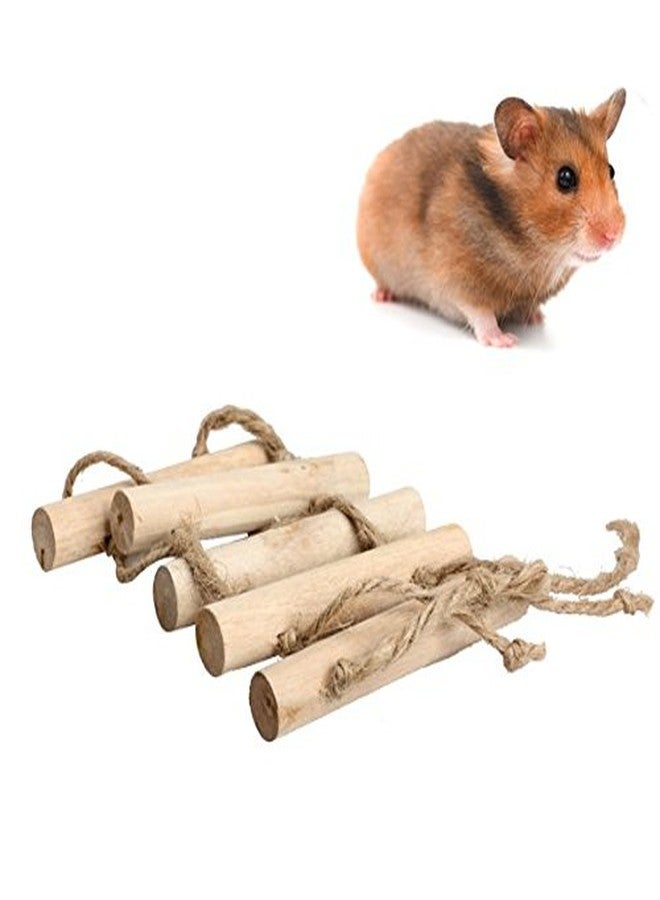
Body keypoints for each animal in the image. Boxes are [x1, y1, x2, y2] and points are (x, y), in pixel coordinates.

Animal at [357, 90, 626, 347]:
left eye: (611, 170)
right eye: (566, 178)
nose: (613, 236)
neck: (532, 250)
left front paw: (536, 319)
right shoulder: (458, 281)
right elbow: (480, 314)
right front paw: (505, 341)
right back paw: (382, 296)